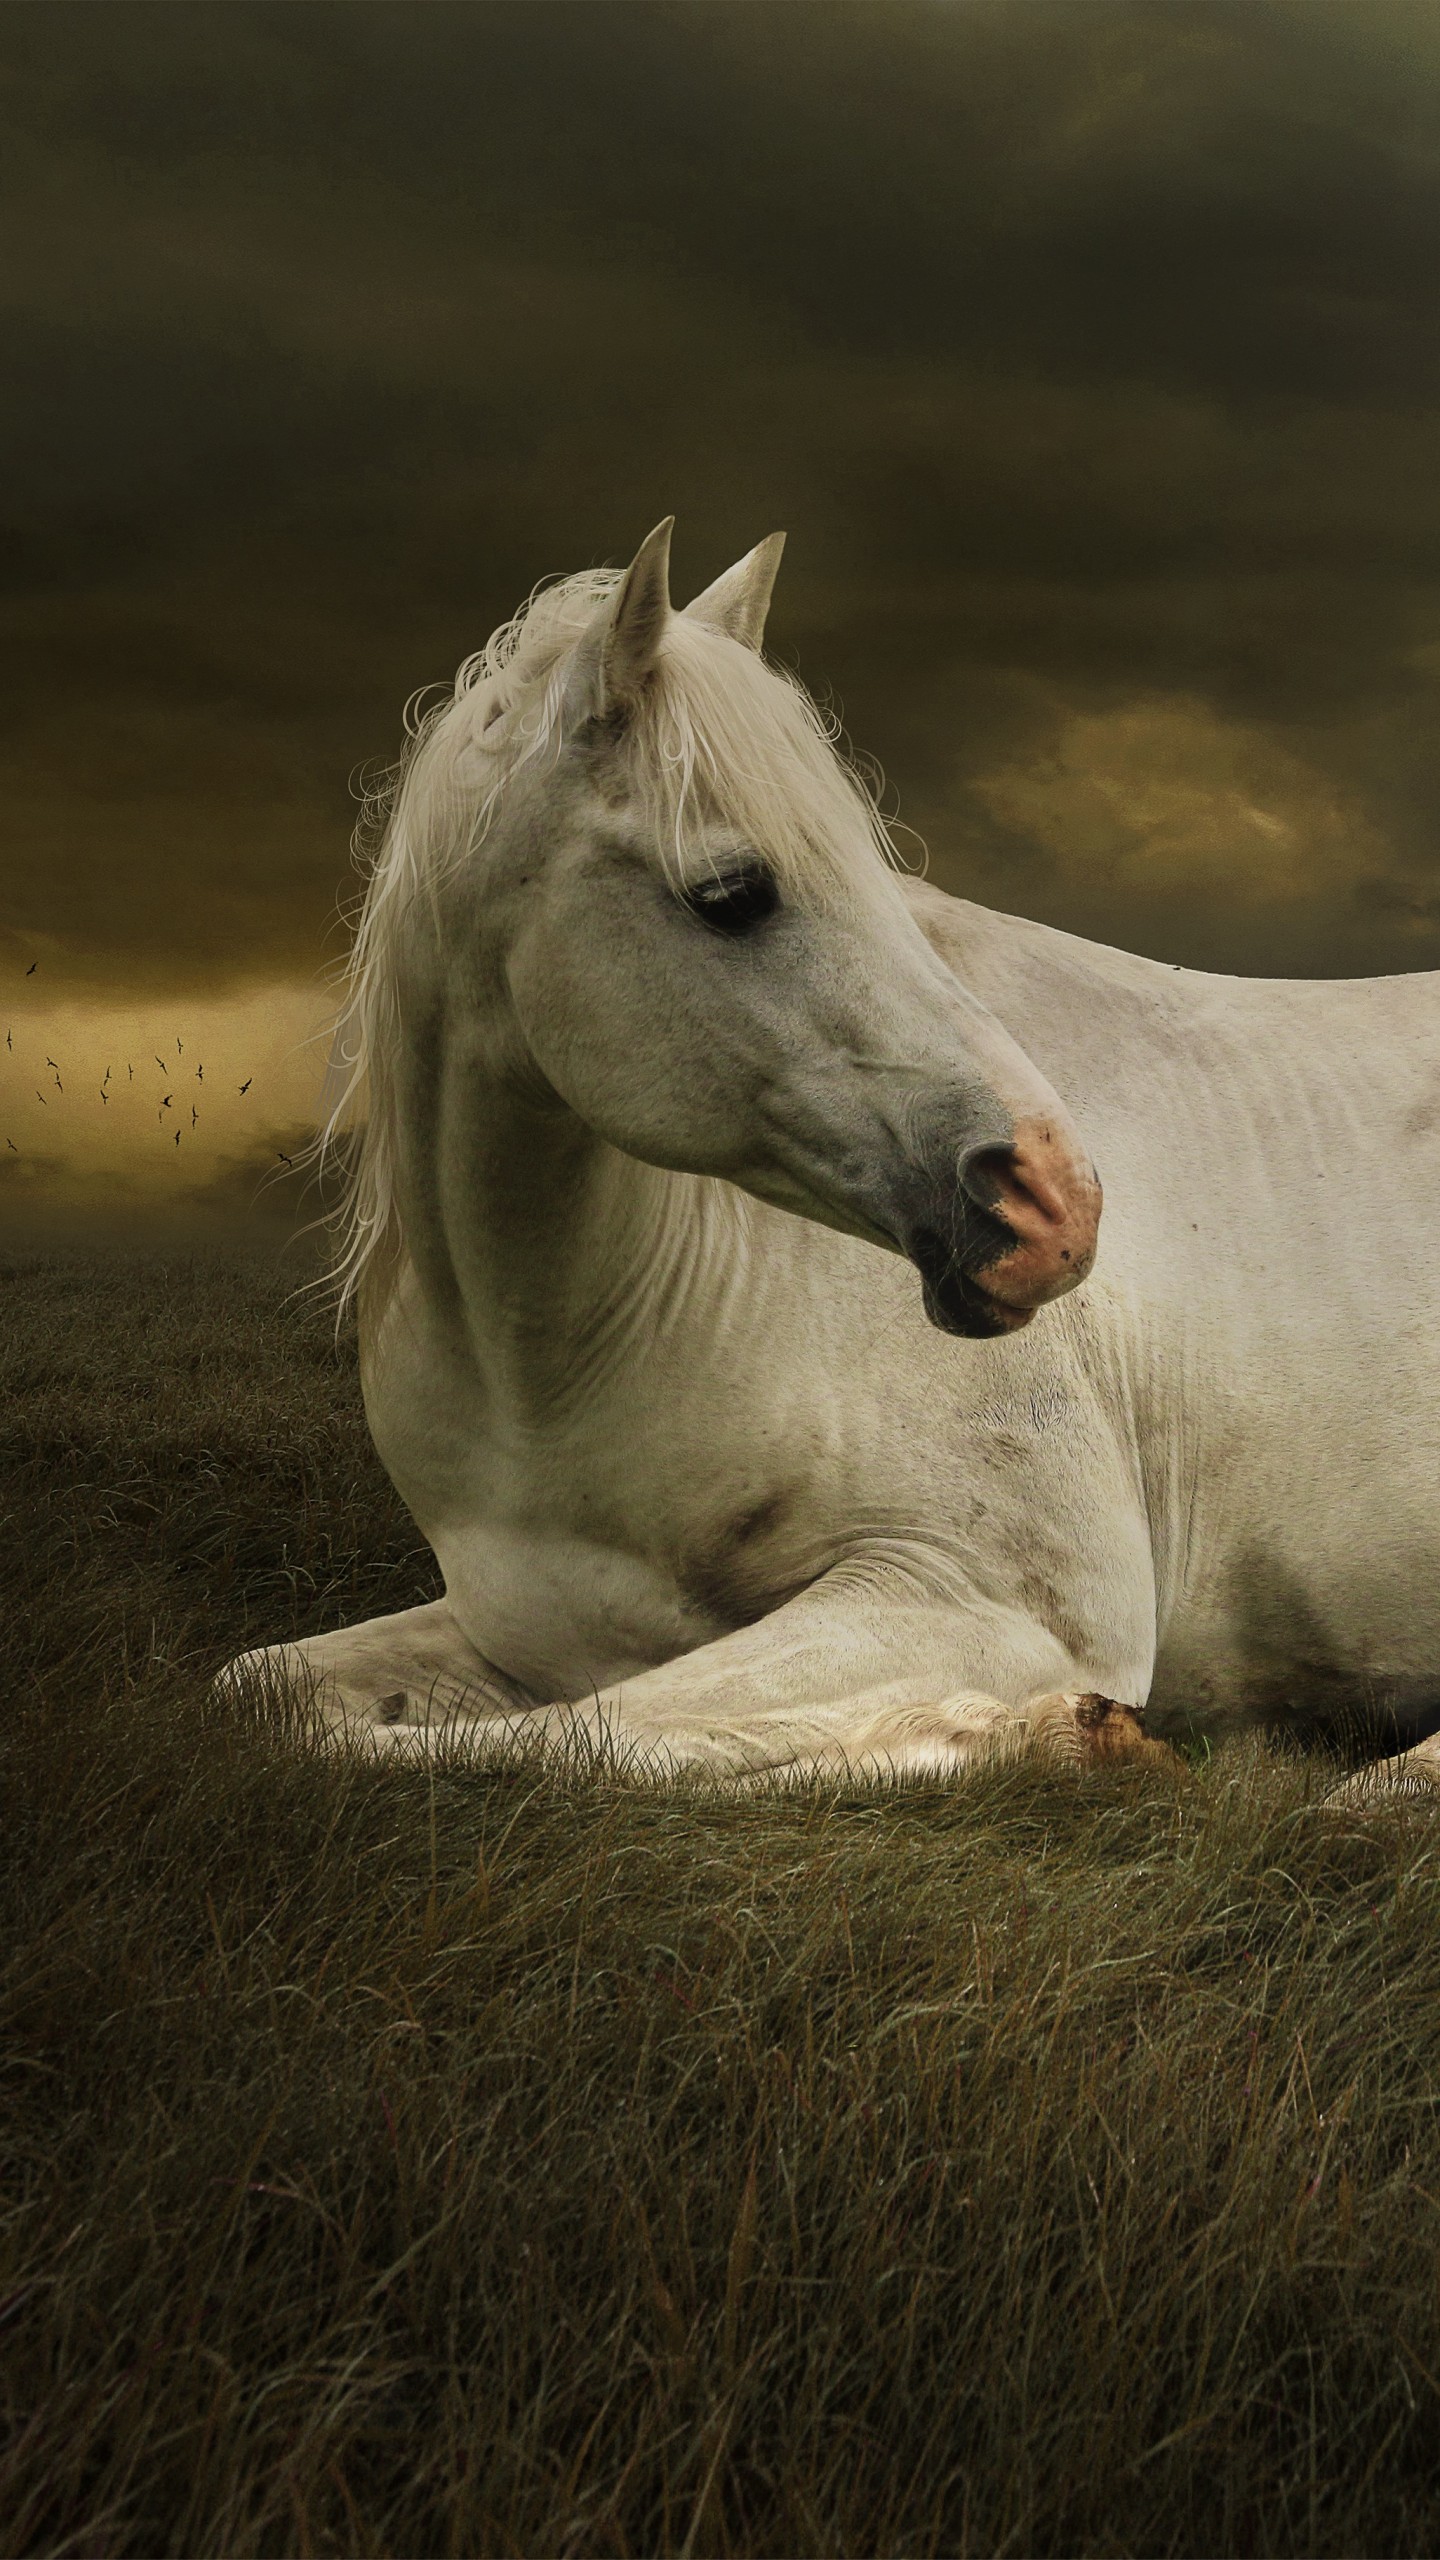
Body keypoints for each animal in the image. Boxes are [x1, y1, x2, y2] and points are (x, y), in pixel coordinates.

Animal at [221, 520, 1440, 1797]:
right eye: (733, 893)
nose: (1055, 1206)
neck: (560, 1364)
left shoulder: (982, 1598)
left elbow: (580, 1739)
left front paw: (1041, 1734)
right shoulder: (523, 1631)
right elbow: (270, 1696)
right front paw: (1032, 1735)